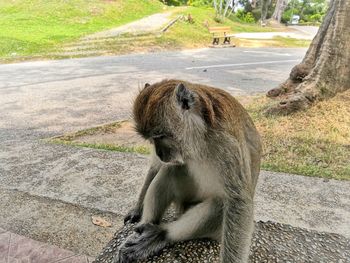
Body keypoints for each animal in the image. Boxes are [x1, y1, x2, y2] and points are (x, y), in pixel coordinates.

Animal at [116, 79, 262, 262]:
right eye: (151, 139)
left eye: (160, 136)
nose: (159, 153)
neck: (199, 136)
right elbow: (156, 168)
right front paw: (137, 210)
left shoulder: (227, 145)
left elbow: (238, 201)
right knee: (171, 171)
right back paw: (147, 227)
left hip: (215, 229)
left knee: (220, 203)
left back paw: (161, 234)